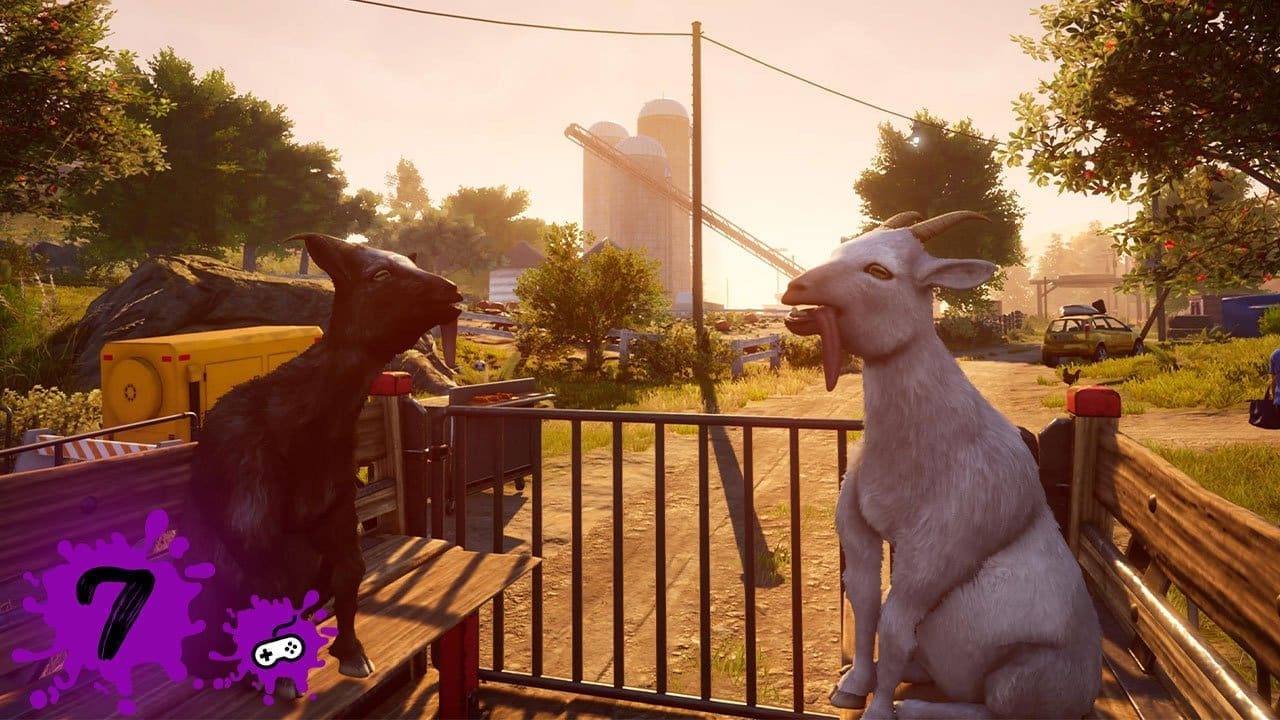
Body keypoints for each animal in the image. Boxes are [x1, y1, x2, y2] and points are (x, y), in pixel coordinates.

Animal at [180, 233, 462, 696]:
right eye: (379, 274)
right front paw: (280, 678)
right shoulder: (252, 520)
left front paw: (351, 654)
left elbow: (351, 574)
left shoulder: (339, 509)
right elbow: (271, 593)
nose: (452, 291)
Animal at [781, 211, 1100, 720]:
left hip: (1022, 676)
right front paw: (853, 685)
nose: (795, 288)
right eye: (840, 250)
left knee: (994, 708)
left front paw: (877, 709)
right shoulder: (858, 527)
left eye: (880, 271)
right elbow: (865, 604)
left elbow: (893, 623)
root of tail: (1087, 691)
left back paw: (914, 705)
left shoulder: (938, 551)